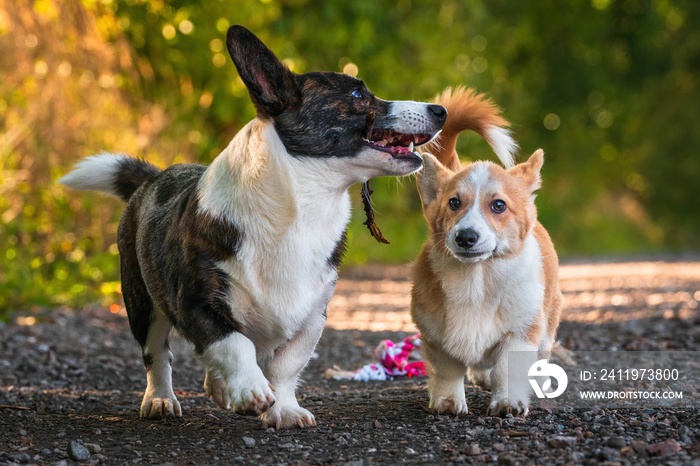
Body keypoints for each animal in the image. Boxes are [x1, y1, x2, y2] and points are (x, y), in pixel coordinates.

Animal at [412, 87, 560, 416]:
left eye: (499, 205)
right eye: (454, 202)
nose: (466, 237)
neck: (475, 282)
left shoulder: (520, 332)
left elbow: (508, 369)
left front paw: (508, 403)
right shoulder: (436, 337)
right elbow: (448, 371)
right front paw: (447, 403)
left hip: (548, 321)